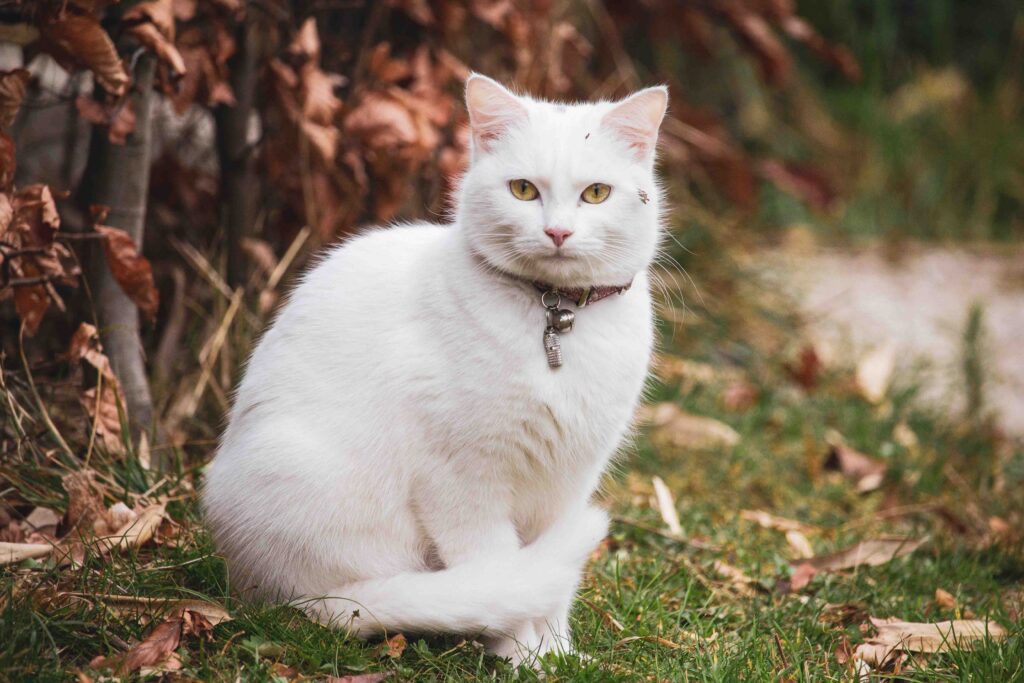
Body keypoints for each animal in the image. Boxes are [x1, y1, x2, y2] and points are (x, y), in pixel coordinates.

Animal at [205, 73, 671, 663]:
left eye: (596, 193)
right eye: (523, 190)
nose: (559, 232)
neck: (557, 317)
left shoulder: (569, 481)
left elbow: (553, 584)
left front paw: (559, 655)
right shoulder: (462, 482)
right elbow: (501, 576)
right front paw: (522, 658)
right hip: (301, 477)